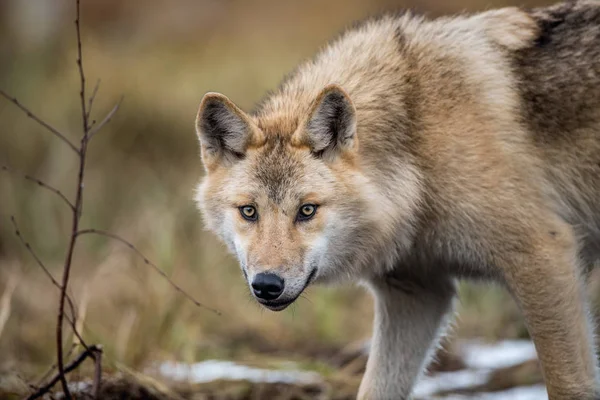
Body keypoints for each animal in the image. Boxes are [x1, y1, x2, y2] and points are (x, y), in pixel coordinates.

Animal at [193, 1, 600, 398]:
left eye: (307, 210)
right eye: (249, 211)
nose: (267, 285)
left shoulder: (543, 258)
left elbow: (568, 386)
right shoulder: (416, 294)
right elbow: (373, 390)